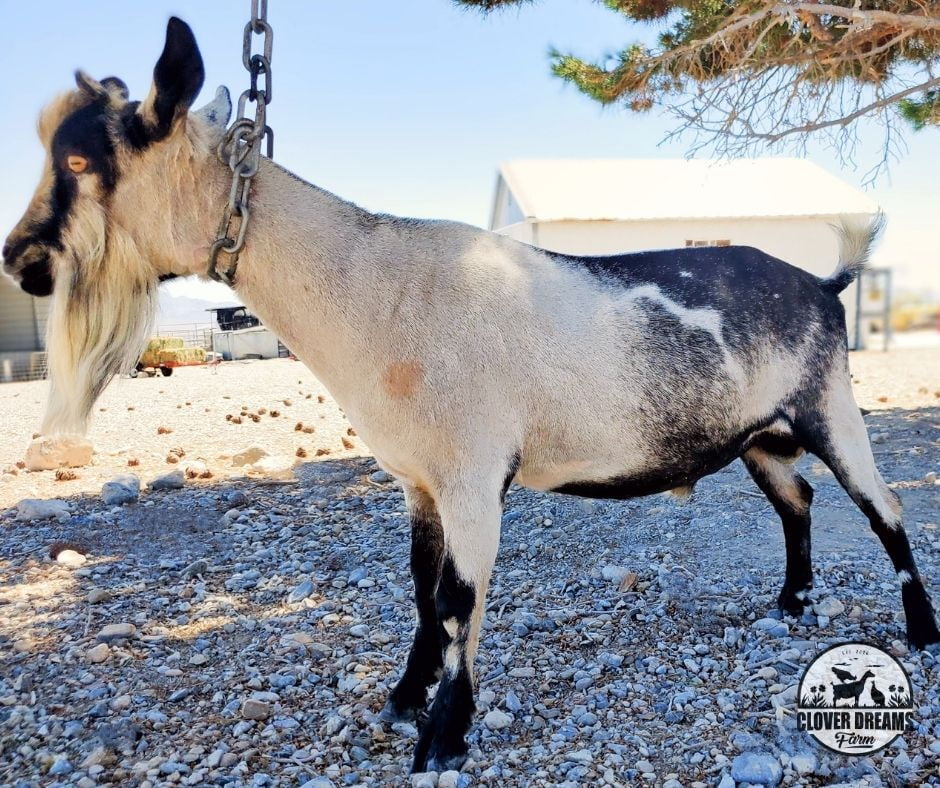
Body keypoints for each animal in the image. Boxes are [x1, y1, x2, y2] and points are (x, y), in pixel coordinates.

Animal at [2, 18, 938, 773]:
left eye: (82, 159)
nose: (21, 261)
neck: (376, 290)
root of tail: (824, 283)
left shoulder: (474, 471)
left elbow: (458, 598)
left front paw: (444, 735)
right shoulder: (419, 478)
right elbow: (423, 590)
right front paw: (404, 698)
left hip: (830, 401)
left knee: (883, 503)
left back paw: (920, 628)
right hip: (760, 435)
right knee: (798, 498)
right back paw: (792, 601)